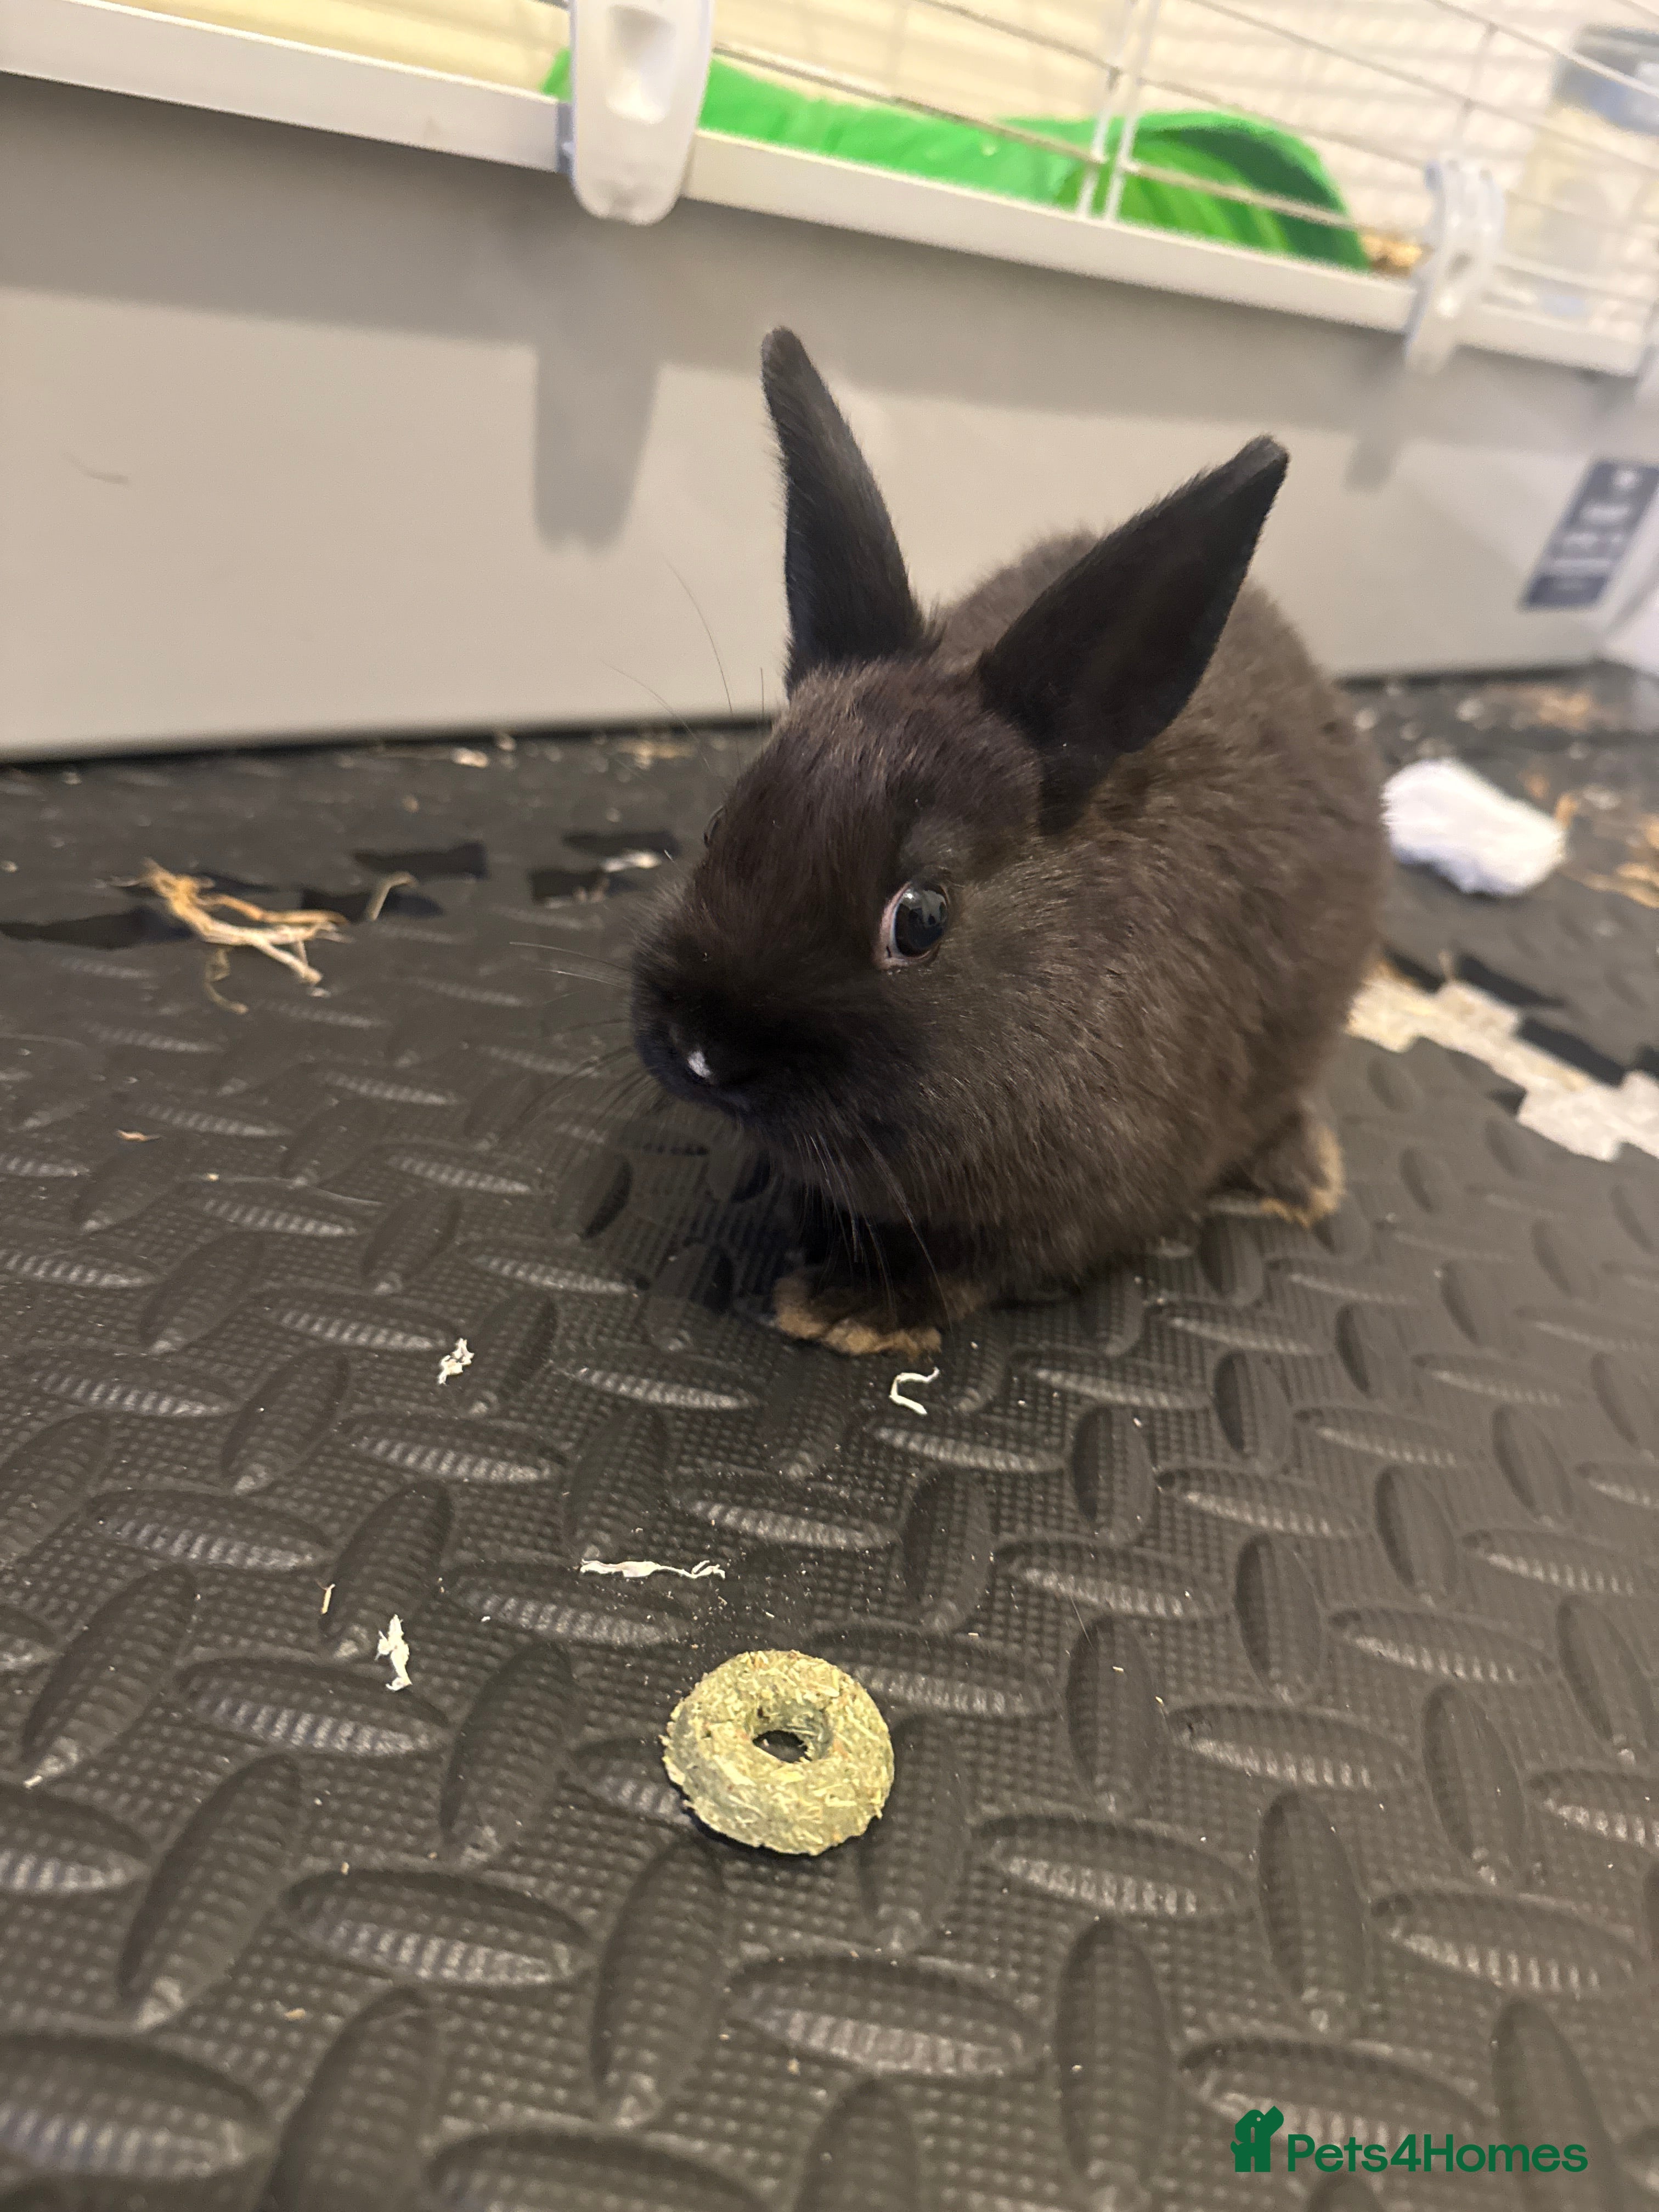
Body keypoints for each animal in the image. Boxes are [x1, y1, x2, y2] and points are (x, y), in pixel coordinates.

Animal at [631, 329, 1388, 1356]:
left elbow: (979, 1265)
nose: (704, 1049)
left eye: (918, 919)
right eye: (722, 826)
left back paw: (1303, 1180)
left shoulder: (1071, 1210)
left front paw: (852, 1310)